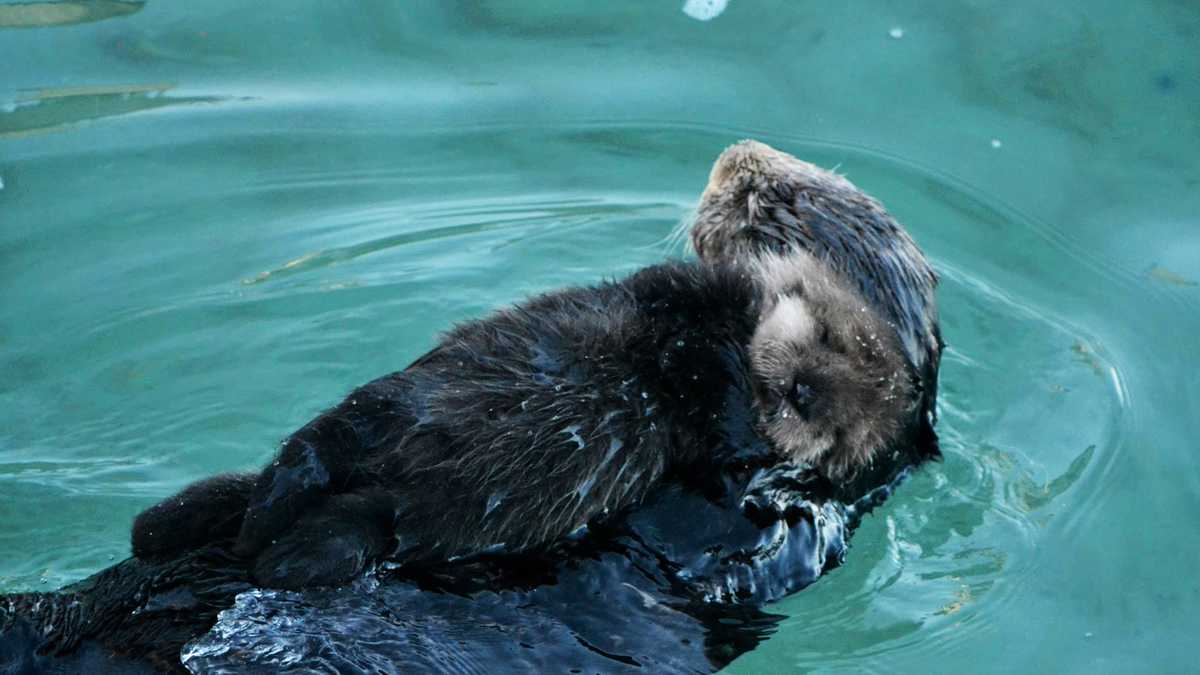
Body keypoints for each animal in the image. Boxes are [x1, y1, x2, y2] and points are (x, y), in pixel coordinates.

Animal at [133, 249, 916, 586]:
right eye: (826, 336)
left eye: (836, 425)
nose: (800, 393)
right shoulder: (685, 295)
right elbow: (676, 313)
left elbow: (726, 436)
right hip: (382, 409)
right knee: (316, 447)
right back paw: (224, 521)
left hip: (407, 508)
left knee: (335, 516)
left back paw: (264, 544)